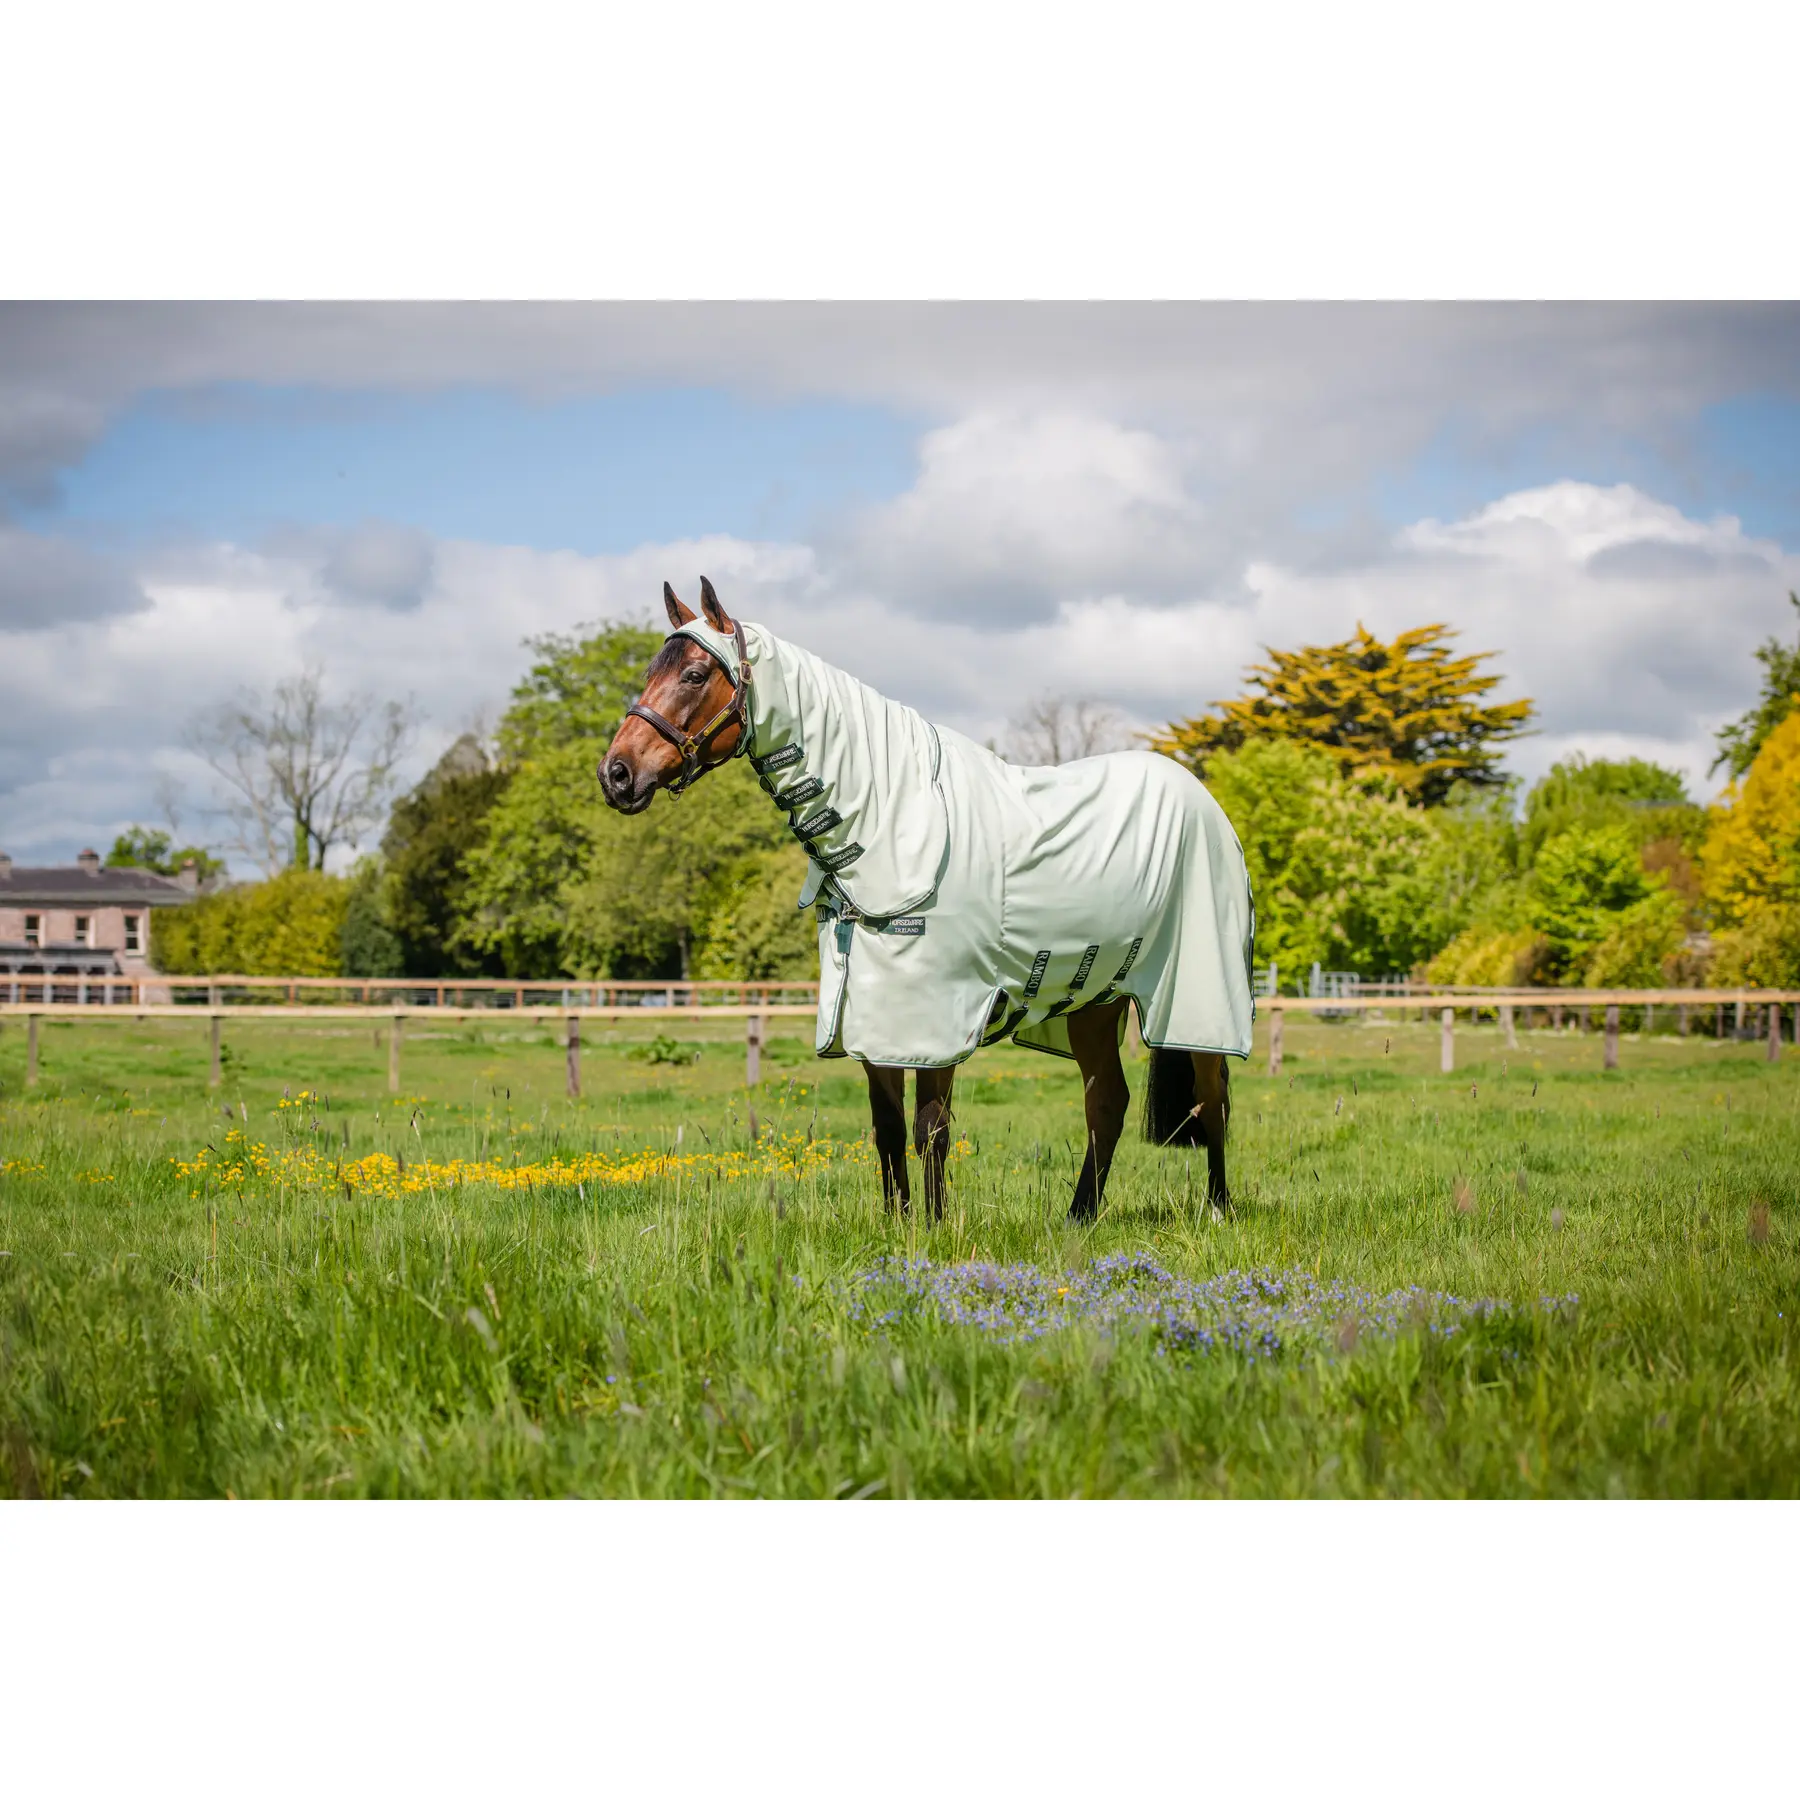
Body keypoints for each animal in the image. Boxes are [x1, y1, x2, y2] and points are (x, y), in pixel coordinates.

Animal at [600, 577, 1255, 1224]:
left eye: (693, 674)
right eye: (652, 672)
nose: (616, 775)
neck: (890, 820)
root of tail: (1203, 799)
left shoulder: (937, 1017)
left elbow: (929, 1129)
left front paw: (936, 1230)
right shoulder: (872, 1017)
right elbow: (888, 1129)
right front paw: (900, 1226)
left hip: (1197, 996)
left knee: (1212, 1097)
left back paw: (1218, 1208)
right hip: (1094, 1000)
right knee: (1108, 1103)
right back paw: (1079, 1216)